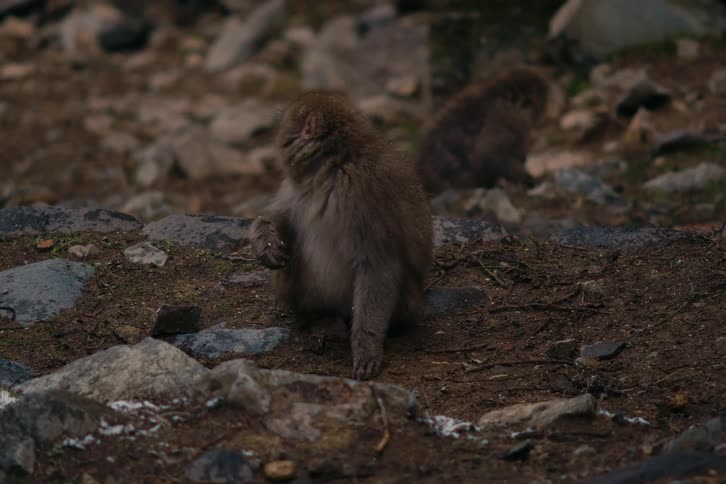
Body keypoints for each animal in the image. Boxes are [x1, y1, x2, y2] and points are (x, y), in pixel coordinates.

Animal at [250, 91, 433, 380]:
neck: (332, 166)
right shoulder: (296, 189)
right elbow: (279, 218)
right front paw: (265, 244)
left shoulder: (361, 196)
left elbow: (378, 263)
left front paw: (367, 345)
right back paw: (317, 318)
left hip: (407, 303)